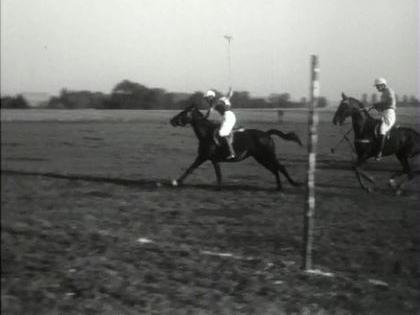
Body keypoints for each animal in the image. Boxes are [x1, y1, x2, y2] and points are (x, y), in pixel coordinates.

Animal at [169, 105, 304, 191]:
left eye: (184, 112)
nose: (172, 121)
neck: (206, 134)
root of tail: (266, 134)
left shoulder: (206, 157)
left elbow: (211, 172)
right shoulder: (206, 157)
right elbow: (193, 169)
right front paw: (177, 182)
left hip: (268, 155)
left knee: (281, 167)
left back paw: (293, 184)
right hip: (261, 158)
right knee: (274, 169)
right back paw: (279, 187)